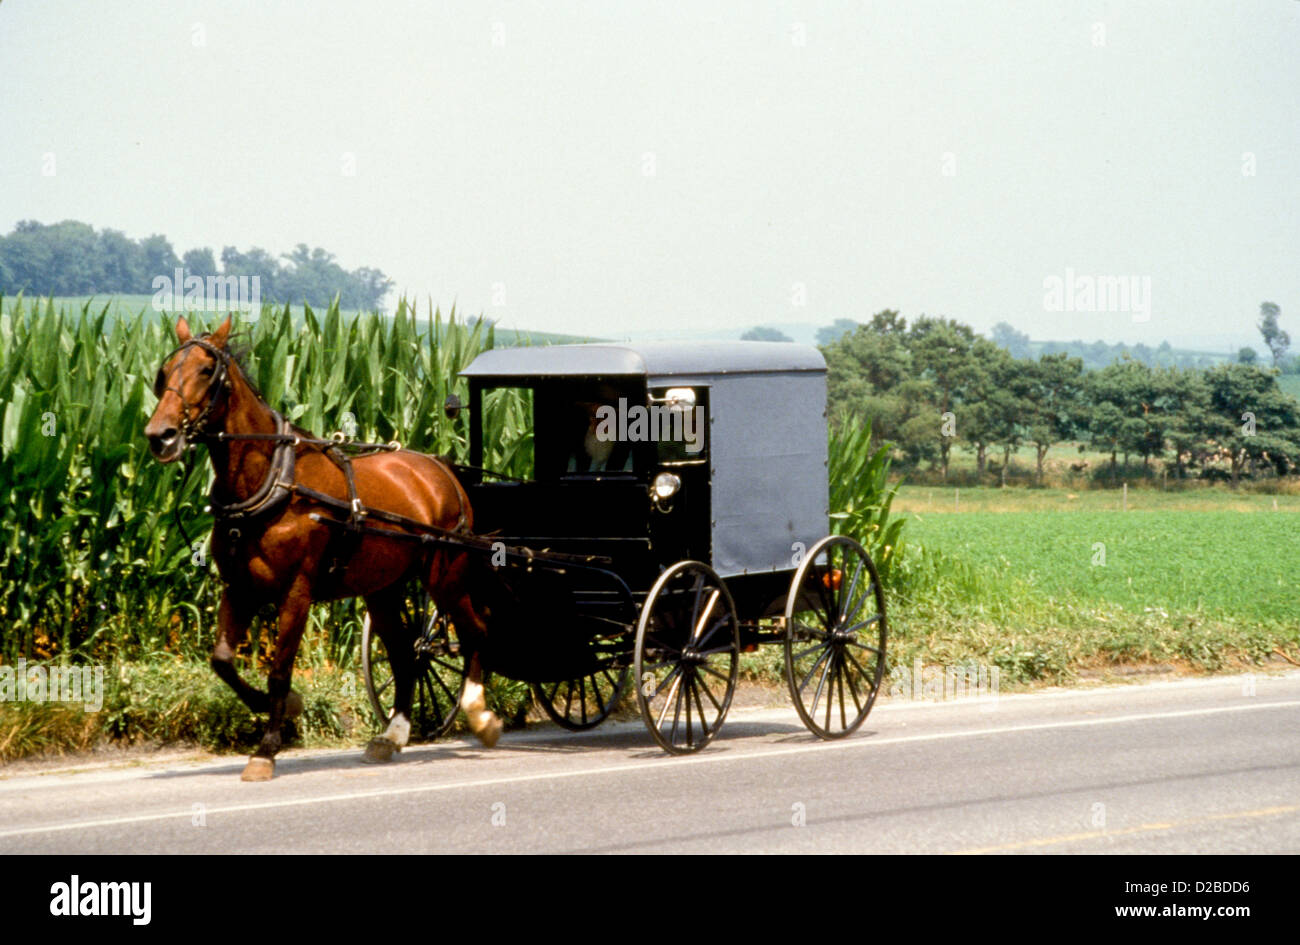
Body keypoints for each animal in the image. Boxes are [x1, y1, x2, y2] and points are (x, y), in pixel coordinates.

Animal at [143, 315, 502, 781]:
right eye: (164, 373)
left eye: (207, 370)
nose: (160, 436)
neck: (274, 481)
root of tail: (441, 468)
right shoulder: (238, 588)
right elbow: (221, 659)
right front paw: (283, 708)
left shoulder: (297, 592)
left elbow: (279, 670)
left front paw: (266, 750)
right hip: (382, 589)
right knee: (406, 653)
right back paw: (392, 735)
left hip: (447, 576)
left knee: (476, 630)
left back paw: (480, 714)